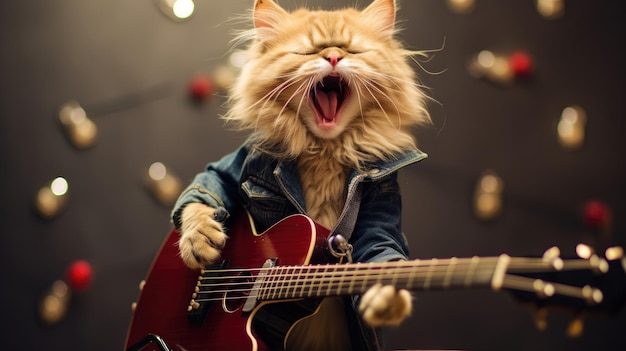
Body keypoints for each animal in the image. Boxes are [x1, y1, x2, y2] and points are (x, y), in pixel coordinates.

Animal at [173, 0, 432, 351]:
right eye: (309, 52)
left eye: (352, 50)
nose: (334, 57)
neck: (325, 150)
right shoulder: (233, 165)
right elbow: (202, 197)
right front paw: (198, 242)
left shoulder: (382, 206)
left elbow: (381, 249)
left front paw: (386, 297)